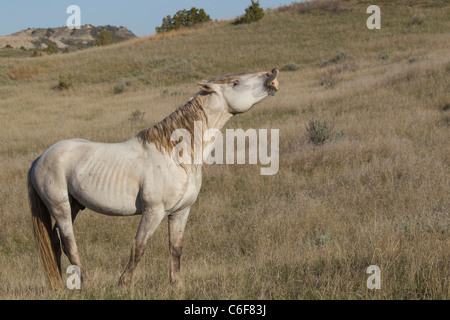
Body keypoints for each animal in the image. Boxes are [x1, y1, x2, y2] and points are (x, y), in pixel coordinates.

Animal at [27, 69, 278, 288]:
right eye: (235, 83)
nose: (272, 74)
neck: (176, 156)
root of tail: (39, 159)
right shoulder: (153, 211)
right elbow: (139, 247)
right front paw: (123, 284)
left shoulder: (181, 212)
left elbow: (176, 248)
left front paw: (177, 286)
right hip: (60, 208)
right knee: (69, 244)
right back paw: (86, 285)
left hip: (74, 206)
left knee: (55, 242)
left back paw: (60, 285)